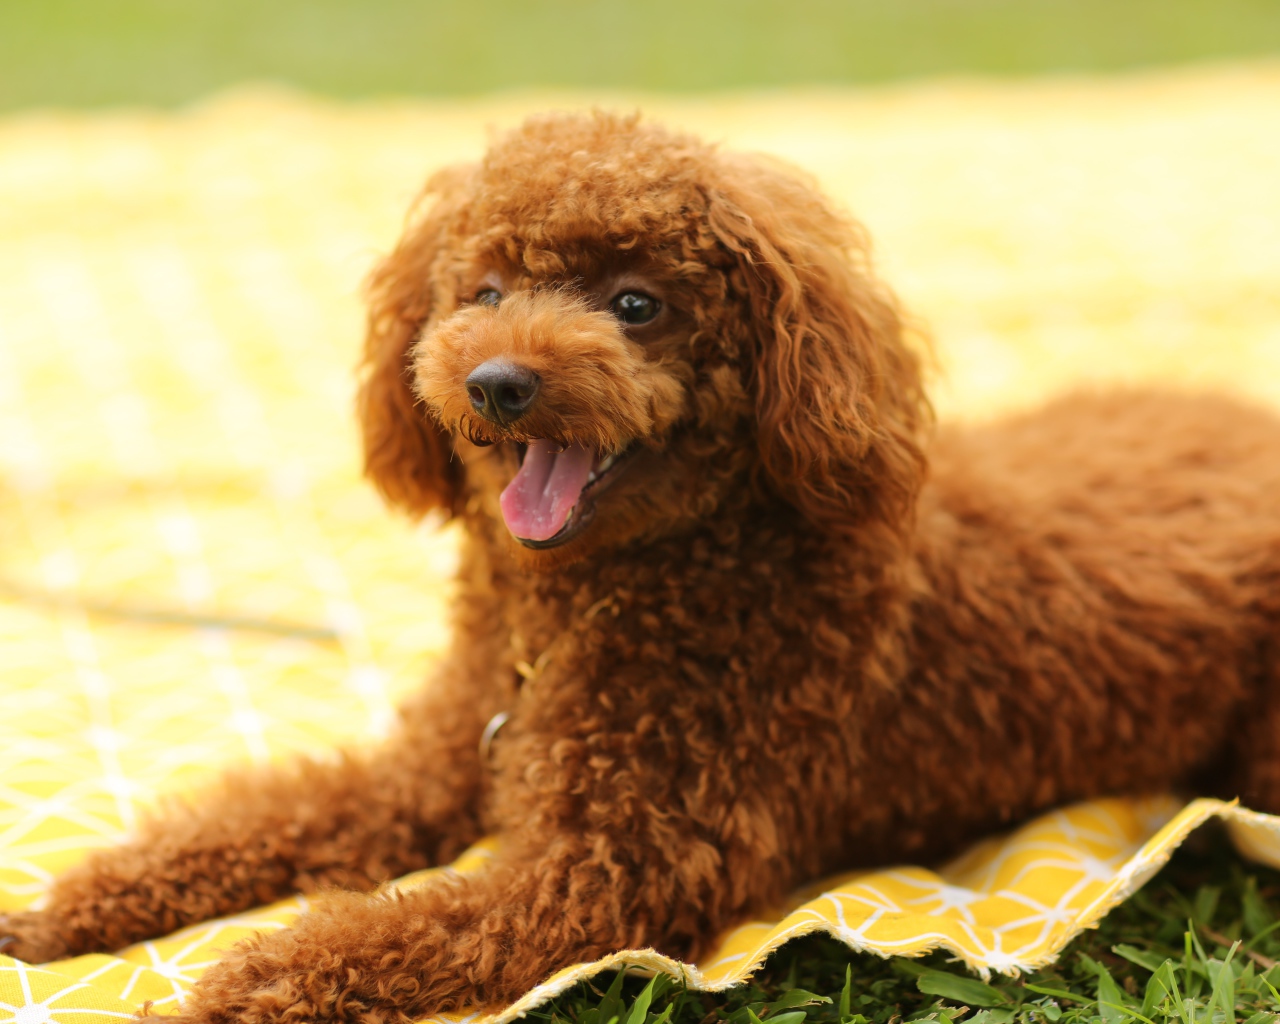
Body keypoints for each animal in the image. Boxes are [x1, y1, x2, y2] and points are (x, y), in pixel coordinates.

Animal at [3, 111, 1280, 1024]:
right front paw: (80, 907)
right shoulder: (425, 770)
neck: (563, 626)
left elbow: (395, 927)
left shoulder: (609, 870)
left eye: (636, 302)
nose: (496, 382)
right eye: (483, 291)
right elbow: (267, 814)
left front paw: (240, 978)